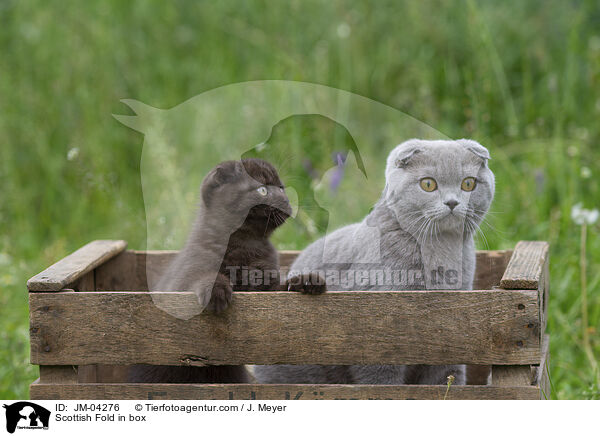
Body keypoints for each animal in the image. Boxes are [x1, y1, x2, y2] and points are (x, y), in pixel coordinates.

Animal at [251, 140, 494, 384]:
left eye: (468, 183)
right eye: (428, 184)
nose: (452, 202)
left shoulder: (450, 340)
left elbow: (446, 379)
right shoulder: (377, 339)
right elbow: (382, 381)